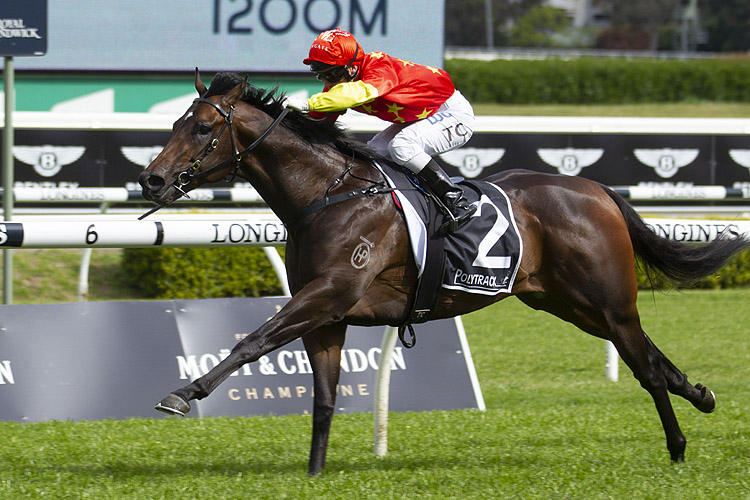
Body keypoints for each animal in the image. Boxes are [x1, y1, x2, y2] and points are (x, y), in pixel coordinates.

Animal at [138, 71, 748, 476]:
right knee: (650, 356)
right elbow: (324, 396)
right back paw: (701, 395)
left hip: (605, 299)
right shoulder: (325, 315)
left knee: (645, 367)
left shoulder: (329, 293)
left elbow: (253, 342)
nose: (151, 180)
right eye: (176, 122)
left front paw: (182, 394)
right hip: (567, 302)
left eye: (200, 128)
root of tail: (595, 189)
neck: (327, 195)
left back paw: (677, 445)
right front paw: (314, 474)